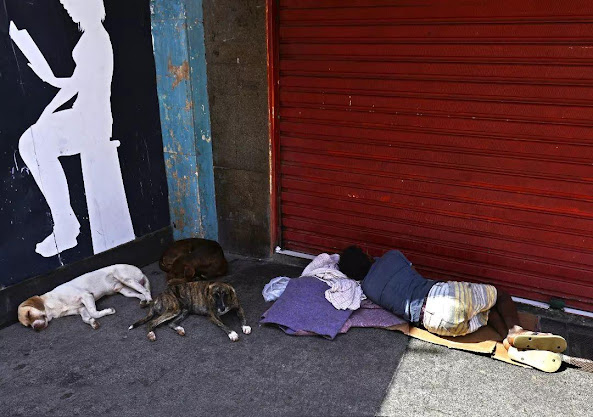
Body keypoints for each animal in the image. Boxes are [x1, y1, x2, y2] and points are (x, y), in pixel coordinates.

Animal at [17, 264, 151, 330]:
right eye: (28, 325)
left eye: (29, 314)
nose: (35, 328)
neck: (52, 306)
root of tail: (140, 271)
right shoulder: (81, 309)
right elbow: (86, 318)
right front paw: (92, 322)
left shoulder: (86, 296)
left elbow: (93, 312)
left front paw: (108, 311)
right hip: (125, 290)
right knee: (140, 294)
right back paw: (143, 301)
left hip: (126, 279)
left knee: (145, 290)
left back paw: (149, 300)